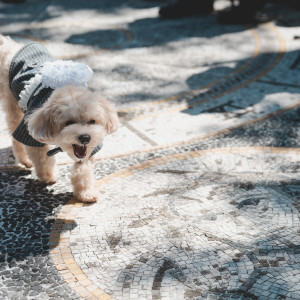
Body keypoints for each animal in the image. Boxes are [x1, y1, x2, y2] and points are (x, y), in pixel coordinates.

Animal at [0, 36, 119, 203]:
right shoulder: (31, 132)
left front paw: (85, 193)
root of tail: (10, 45)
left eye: (92, 121)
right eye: (68, 122)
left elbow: (83, 171)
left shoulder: (87, 150)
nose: (85, 137)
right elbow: (42, 160)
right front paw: (47, 177)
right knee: (14, 135)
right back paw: (24, 160)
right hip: (13, 105)